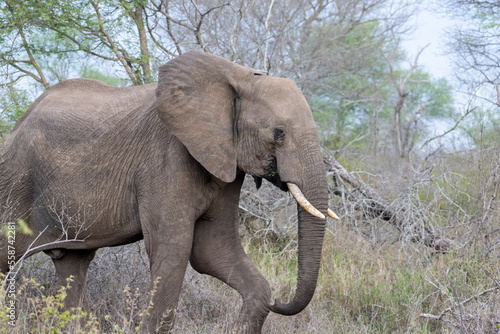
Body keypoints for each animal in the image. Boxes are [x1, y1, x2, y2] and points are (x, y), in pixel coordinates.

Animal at [0, 51, 340, 332]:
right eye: (279, 133)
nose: (281, 302)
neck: (237, 75)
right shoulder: (165, 157)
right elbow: (174, 250)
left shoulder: (224, 163)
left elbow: (211, 250)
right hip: (15, 182)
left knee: (72, 266)